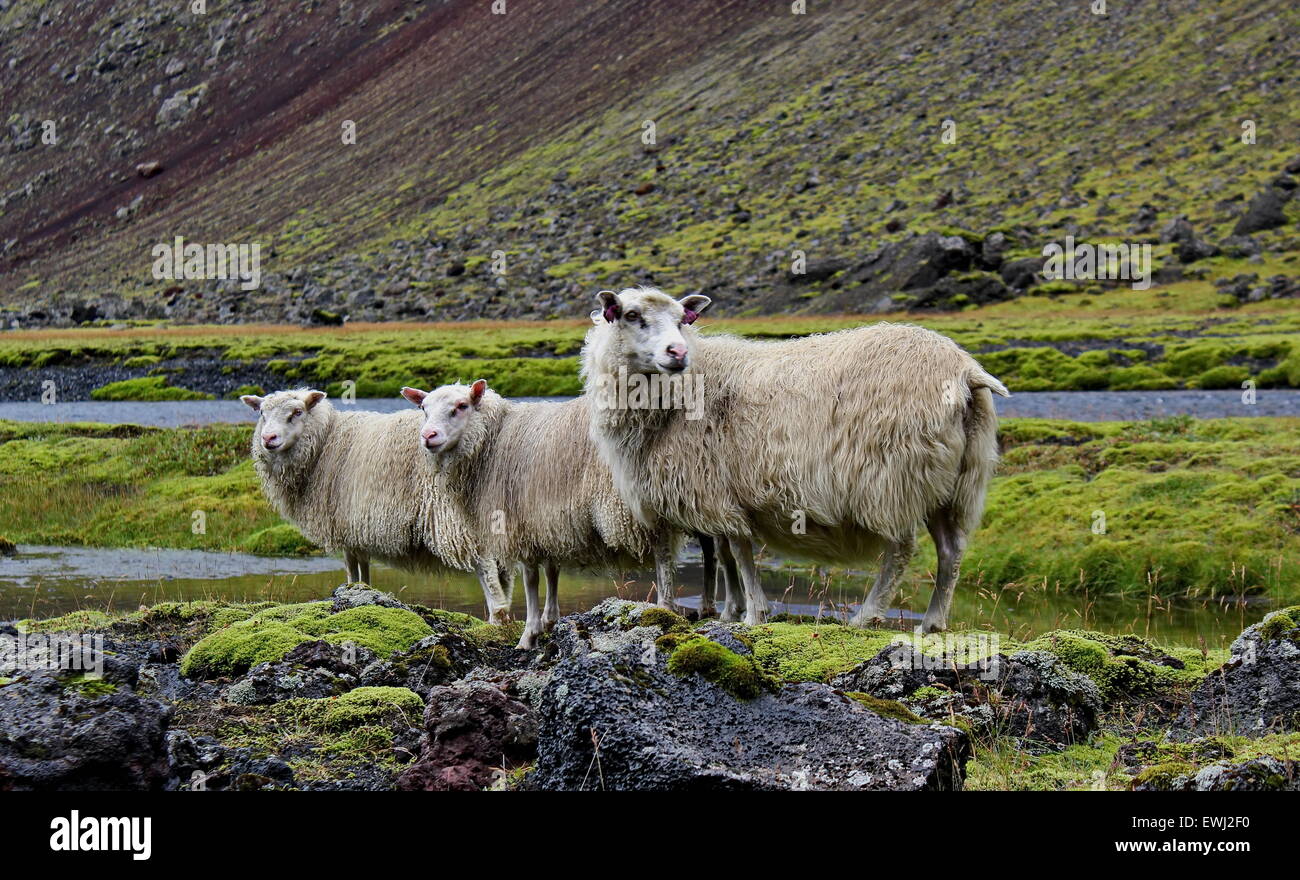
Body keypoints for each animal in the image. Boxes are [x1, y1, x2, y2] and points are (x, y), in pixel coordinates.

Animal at [240, 387, 512, 621]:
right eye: (262, 413)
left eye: (297, 412)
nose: (268, 438)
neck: (324, 443)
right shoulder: (357, 528)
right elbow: (364, 566)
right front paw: (364, 591)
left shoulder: (343, 525)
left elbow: (351, 567)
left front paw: (351, 589)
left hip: (458, 521)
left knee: (487, 569)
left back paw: (496, 618)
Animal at [400, 382, 686, 649]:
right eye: (423, 409)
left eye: (461, 406)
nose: (428, 435)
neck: (494, 440)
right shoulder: (545, 521)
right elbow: (551, 570)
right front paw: (550, 620)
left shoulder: (521, 523)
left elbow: (531, 580)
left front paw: (529, 634)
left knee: (663, 554)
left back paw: (664, 609)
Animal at [585, 288, 1008, 631]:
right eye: (631, 315)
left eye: (680, 321)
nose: (678, 352)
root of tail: (964, 369)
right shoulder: (717, 490)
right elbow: (724, 553)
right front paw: (730, 610)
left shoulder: (716, 490)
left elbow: (737, 551)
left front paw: (752, 613)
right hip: (954, 481)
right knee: (951, 550)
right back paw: (933, 623)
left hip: (891, 476)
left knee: (901, 550)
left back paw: (866, 616)